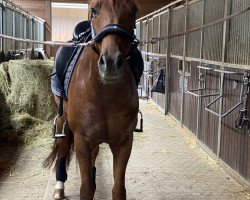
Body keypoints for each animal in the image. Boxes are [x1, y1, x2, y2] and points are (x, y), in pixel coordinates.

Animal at [43, 0, 140, 200]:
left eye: (134, 10)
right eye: (94, 9)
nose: (111, 62)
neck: (105, 94)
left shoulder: (124, 143)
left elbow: (118, 190)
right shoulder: (83, 141)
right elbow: (86, 189)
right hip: (64, 124)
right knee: (63, 150)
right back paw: (59, 188)